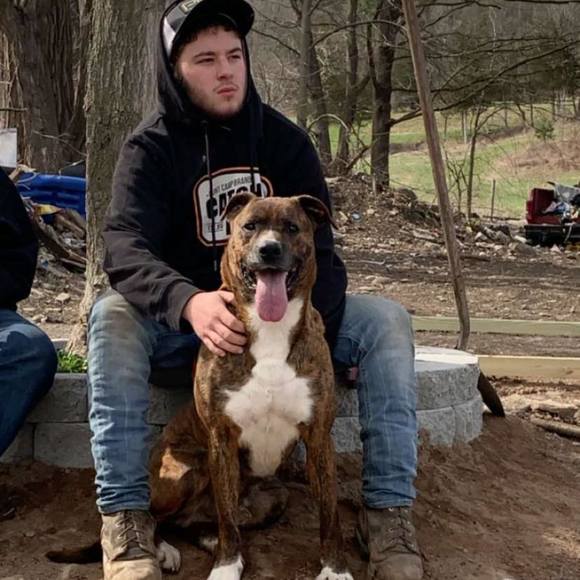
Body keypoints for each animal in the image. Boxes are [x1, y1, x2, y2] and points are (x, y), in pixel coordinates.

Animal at [49, 194, 353, 580]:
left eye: (292, 227)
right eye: (250, 226)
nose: (269, 249)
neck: (271, 330)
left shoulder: (318, 438)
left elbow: (330, 513)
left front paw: (335, 568)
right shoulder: (221, 439)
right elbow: (227, 519)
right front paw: (226, 567)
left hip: (272, 497)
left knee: (202, 523)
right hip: (185, 472)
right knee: (159, 517)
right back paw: (162, 550)